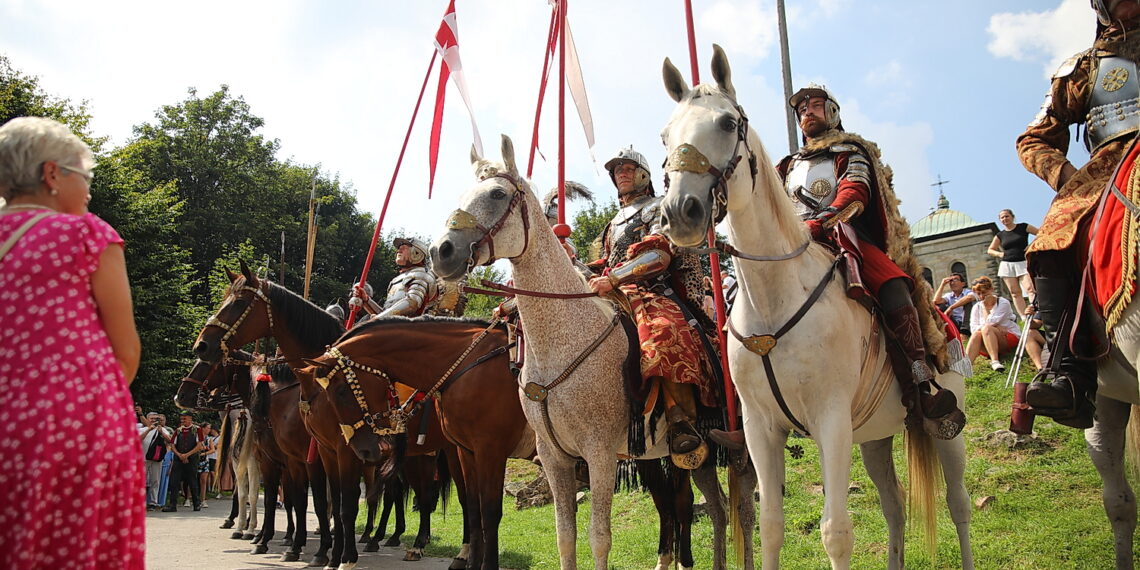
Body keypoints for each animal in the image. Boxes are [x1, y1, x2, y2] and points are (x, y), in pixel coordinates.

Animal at [191, 263, 462, 570]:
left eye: (238, 302)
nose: (202, 345)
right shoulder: (319, 452)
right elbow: (318, 503)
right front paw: (324, 553)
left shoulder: (334, 454)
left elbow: (340, 505)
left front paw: (339, 555)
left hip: (435, 455)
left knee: (432, 497)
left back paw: (419, 545)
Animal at [430, 135, 752, 567]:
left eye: (498, 194)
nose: (441, 252)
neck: (562, 345)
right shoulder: (554, 457)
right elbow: (565, 536)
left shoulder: (598, 453)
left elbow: (599, 537)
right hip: (684, 454)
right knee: (713, 508)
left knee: (740, 511)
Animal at [656, 45, 975, 570]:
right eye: (666, 133)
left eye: (727, 122)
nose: (681, 212)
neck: (774, 297)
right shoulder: (760, 429)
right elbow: (769, 526)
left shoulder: (831, 420)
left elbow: (836, 532)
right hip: (874, 434)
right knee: (894, 507)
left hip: (947, 424)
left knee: (958, 505)